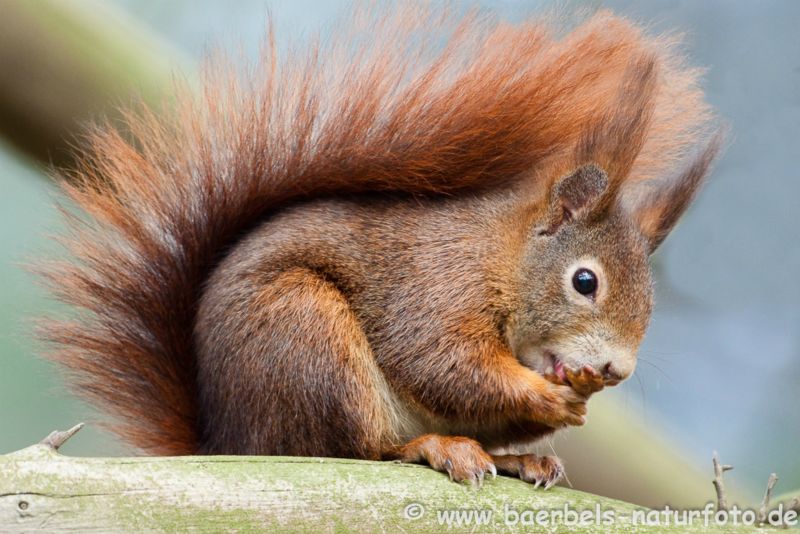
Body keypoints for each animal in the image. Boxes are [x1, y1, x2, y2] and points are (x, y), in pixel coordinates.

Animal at [40, 7, 720, 489]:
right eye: (585, 282)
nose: (616, 370)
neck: (501, 259)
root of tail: (229, 442)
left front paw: (570, 410)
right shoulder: (436, 284)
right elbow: (441, 364)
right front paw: (549, 396)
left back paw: (517, 461)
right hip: (306, 337)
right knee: (357, 451)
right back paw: (431, 446)